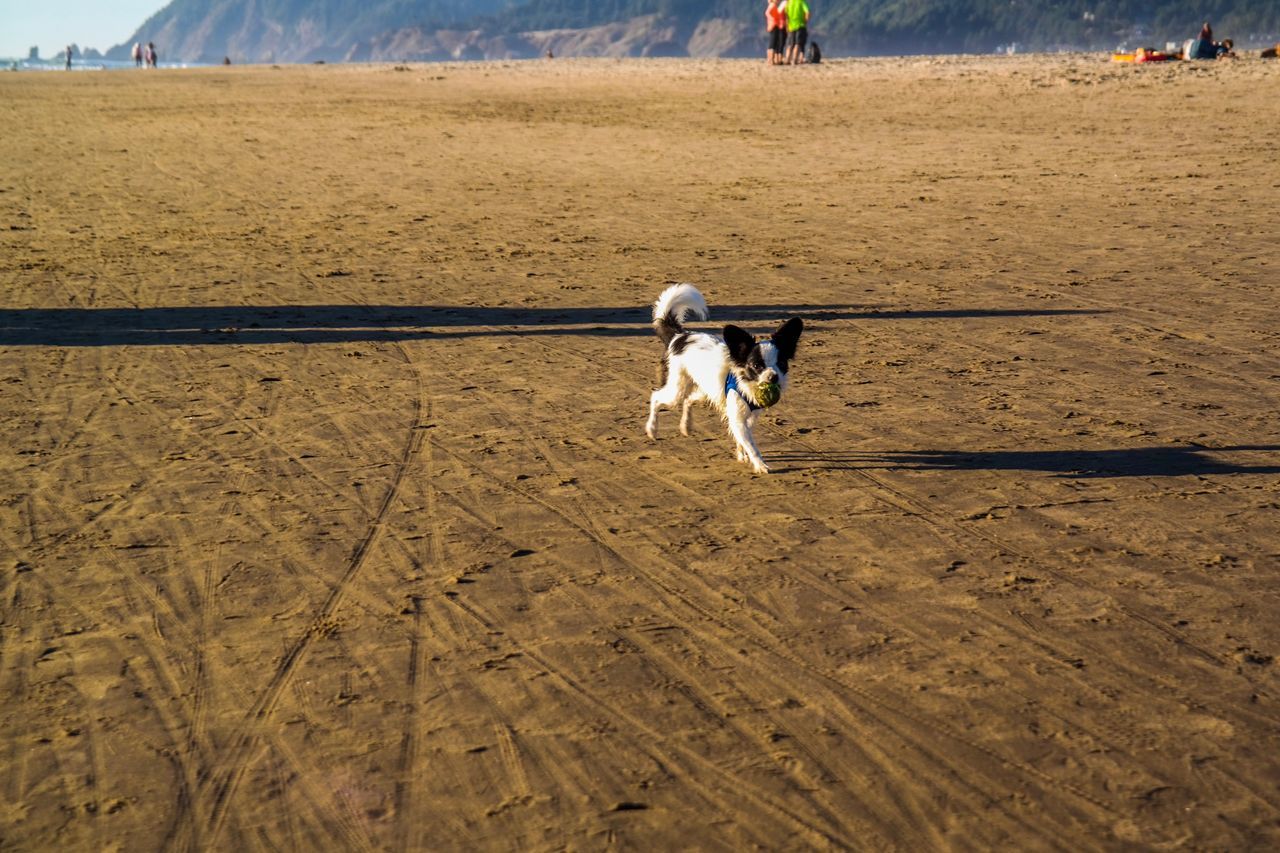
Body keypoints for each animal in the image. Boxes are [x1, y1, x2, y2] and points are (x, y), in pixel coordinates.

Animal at [645, 284, 803, 471]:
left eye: (781, 363)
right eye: (757, 366)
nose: (773, 377)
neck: (747, 383)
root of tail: (679, 336)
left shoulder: (748, 417)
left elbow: (742, 440)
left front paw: (742, 455)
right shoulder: (737, 419)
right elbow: (751, 445)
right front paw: (760, 465)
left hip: (707, 391)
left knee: (688, 399)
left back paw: (686, 425)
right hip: (677, 389)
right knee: (656, 396)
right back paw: (652, 429)